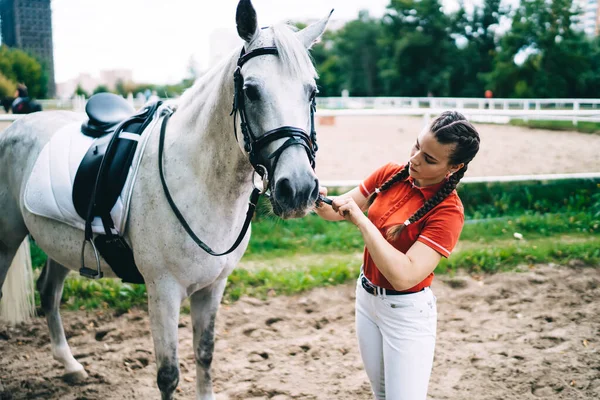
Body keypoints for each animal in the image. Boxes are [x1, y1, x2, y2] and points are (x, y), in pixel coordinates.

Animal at [0, 0, 330, 396]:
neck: (198, 180)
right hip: (6, 240)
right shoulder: (163, 291)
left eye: (312, 92)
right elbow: (168, 373)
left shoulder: (212, 288)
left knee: (48, 293)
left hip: (59, 245)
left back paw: (70, 366)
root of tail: (17, 126)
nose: (298, 189)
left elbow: (205, 354)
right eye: (251, 91)